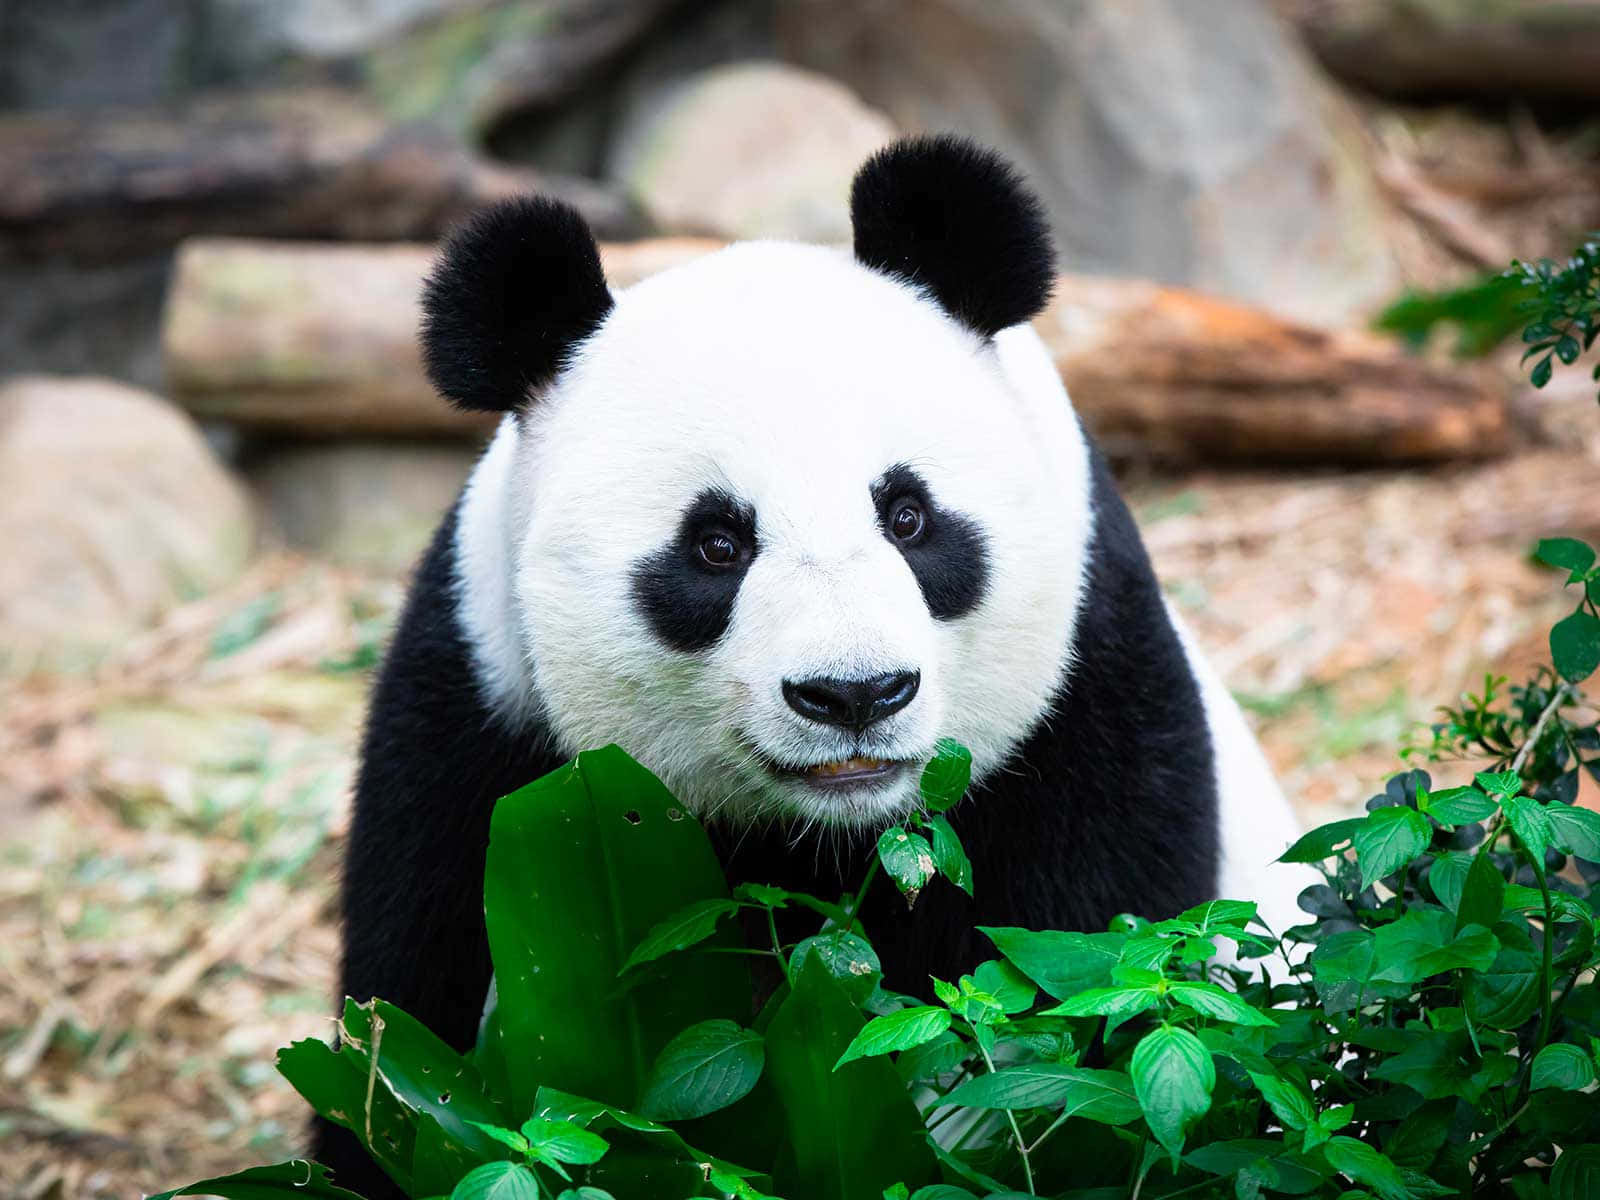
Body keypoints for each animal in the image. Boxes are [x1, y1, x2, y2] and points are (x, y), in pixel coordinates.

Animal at [316, 135, 1307, 1191]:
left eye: (908, 517)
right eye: (716, 544)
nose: (856, 693)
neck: (828, 836)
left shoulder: (1092, 677)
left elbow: (1093, 972)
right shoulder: (480, 704)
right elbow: (405, 1011)